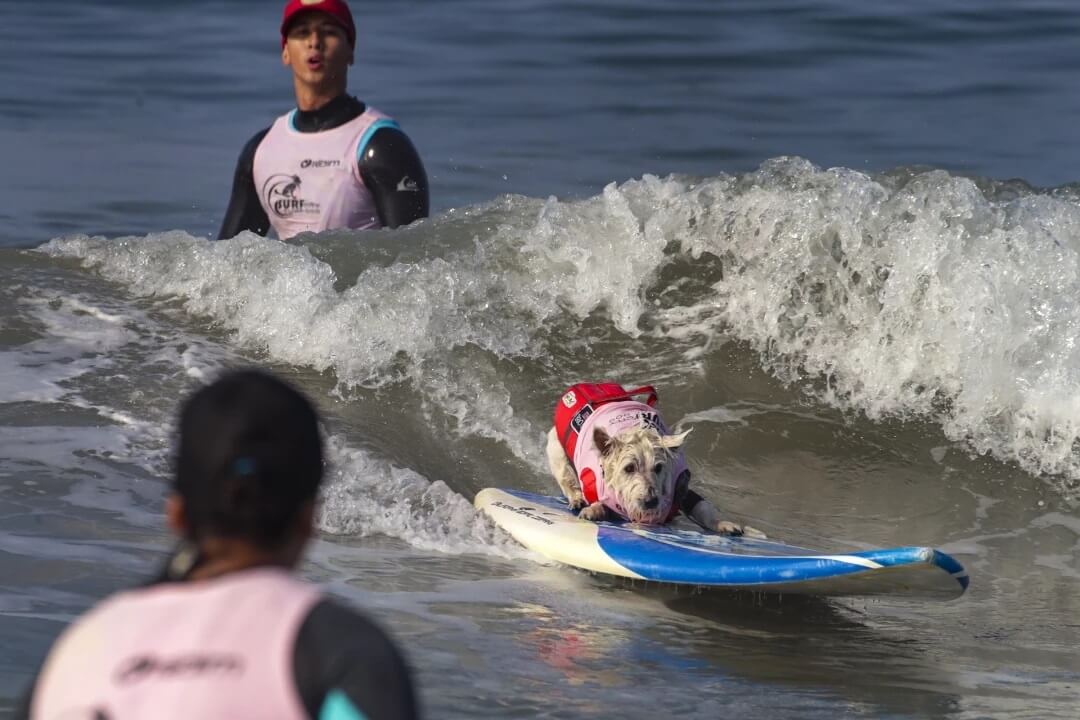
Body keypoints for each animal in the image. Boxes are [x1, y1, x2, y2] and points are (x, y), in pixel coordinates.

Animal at [548, 386, 760, 537]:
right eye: (629, 468)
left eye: (658, 468)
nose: (650, 502)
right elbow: (600, 503)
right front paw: (593, 511)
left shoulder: (680, 486)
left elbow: (702, 506)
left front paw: (724, 524)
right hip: (555, 448)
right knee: (566, 476)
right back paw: (577, 499)